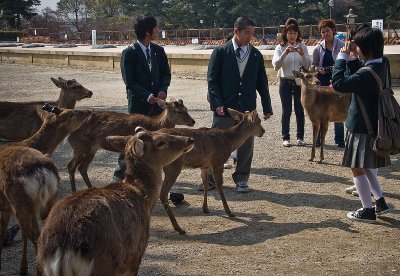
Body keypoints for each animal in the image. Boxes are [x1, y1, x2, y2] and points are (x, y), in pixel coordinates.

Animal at [0, 104, 91, 274]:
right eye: (72, 113)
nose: (89, 111)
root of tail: (42, 173)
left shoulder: (5, 206)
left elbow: (3, 232)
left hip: (21, 203)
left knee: (30, 233)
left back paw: (28, 269)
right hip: (47, 200)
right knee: (39, 233)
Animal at [36, 128, 195, 274]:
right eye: (160, 142)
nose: (190, 139)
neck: (144, 197)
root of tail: (63, 249)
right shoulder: (136, 253)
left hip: (41, 266)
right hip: (105, 265)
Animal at [67, 98, 195, 192]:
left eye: (186, 109)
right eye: (179, 111)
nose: (193, 121)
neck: (154, 125)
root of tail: (69, 133)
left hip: (91, 148)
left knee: (81, 167)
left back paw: (90, 188)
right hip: (81, 146)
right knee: (72, 166)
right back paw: (74, 190)